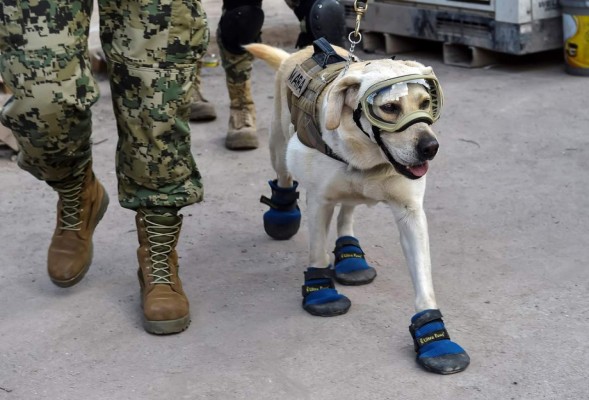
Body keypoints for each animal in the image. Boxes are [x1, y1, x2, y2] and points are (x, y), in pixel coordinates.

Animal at [247, 39, 468, 374]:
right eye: (389, 108)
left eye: (426, 101)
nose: (431, 148)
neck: (368, 157)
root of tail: (299, 51)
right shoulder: (319, 201)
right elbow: (317, 253)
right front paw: (321, 292)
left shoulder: (411, 214)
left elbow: (423, 282)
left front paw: (436, 338)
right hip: (278, 147)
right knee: (284, 177)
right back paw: (282, 214)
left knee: (347, 213)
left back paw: (351, 255)